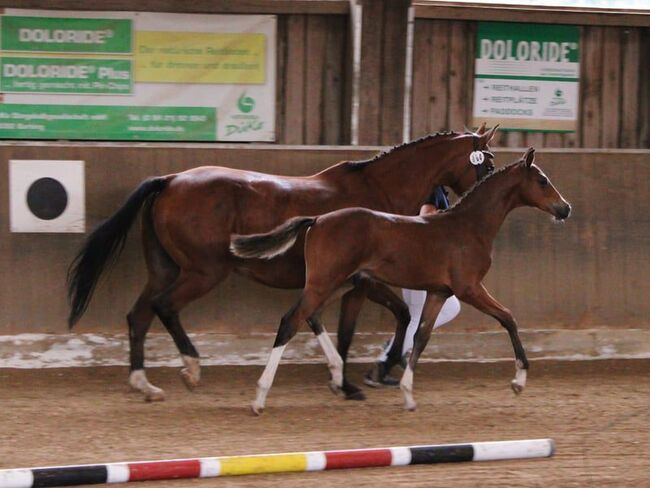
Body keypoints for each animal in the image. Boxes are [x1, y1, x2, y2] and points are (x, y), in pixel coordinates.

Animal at [67, 126, 498, 402]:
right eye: (488, 166)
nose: (451, 205)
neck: (378, 192)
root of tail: (171, 180)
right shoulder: (361, 282)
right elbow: (378, 323)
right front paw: (360, 379)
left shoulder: (334, 284)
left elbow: (327, 325)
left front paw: (347, 377)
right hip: (203, 272)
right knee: (163, 307)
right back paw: (191, 367)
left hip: (165, 269)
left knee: (139, 315)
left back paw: (144, 384)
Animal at [230, 148, 571, 414]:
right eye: (542, 180)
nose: (565, 208)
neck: (468, 226)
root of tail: (317, 220)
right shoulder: (469, 288)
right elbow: (508, 318)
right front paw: (519, 380)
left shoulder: (438, 292)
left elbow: (421, 336)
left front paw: (407, 395)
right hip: (325, 282)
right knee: (290, 321)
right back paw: (260, 397)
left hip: (340, 283)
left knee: (310, 316)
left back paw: (337, 379)